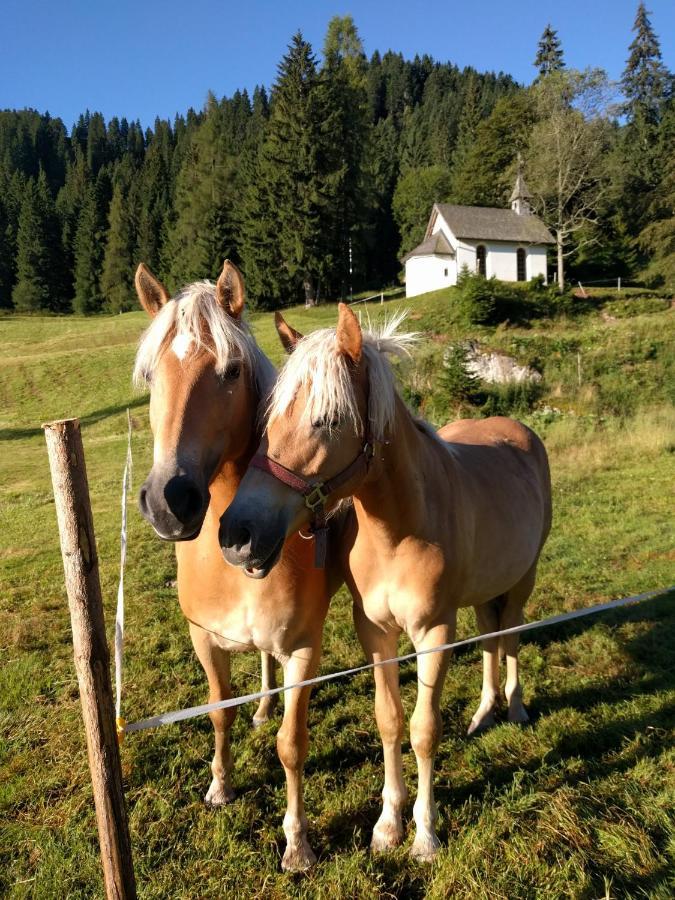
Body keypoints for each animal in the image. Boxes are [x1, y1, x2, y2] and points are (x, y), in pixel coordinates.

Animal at [135, 262, 352, 872]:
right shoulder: (204, 640)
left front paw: (297, 844)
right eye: (150, 377)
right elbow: (218, 713)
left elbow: (292, 744)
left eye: (229, 371)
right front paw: (220, 786)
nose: (169, 500)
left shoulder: (304, 649)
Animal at [219, 306, 552, 860]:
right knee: (490, 636)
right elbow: (390, 720)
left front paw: (425, 835)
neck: (397, 531)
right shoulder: (375, 632)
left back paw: (517, 707)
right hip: (484, 590)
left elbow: (423, 729)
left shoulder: (434, 631)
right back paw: (485, 713)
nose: (237, 534)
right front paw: (388, 825)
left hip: (523, 579)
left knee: (511, 636)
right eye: (270, 421)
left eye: (328, 420)